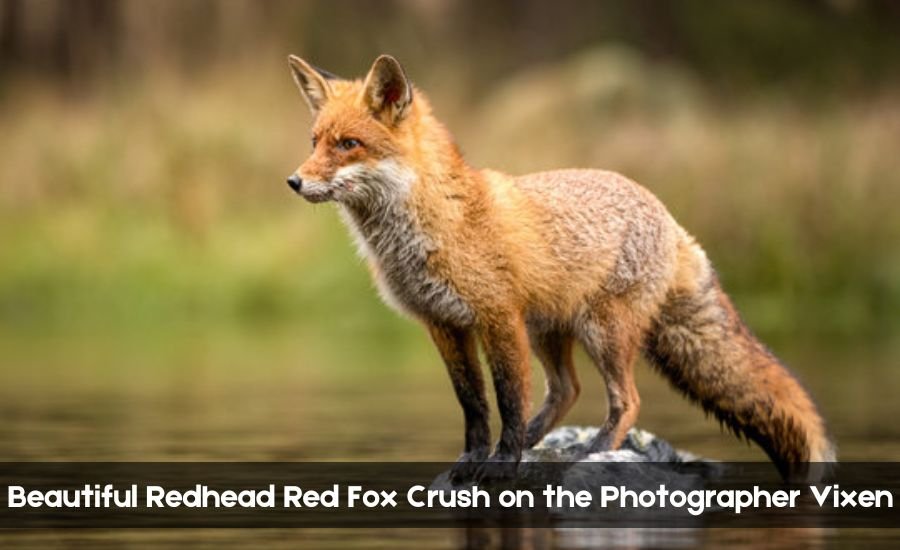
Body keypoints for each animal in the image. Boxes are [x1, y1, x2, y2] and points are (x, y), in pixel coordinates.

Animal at [284, 52, 832, 484]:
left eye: (348, 144)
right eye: (314, 141)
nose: (293, 181)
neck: (436, 226)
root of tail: (670, 217)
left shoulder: (498, 318)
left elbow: (507, 398)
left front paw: (502, 463)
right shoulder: (443, 324)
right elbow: (474, 404)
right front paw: (473, 459)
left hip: (602, 331)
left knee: (627, 400)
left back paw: (593, 452)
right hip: (550, 330)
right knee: (568, 390)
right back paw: (541, 441)